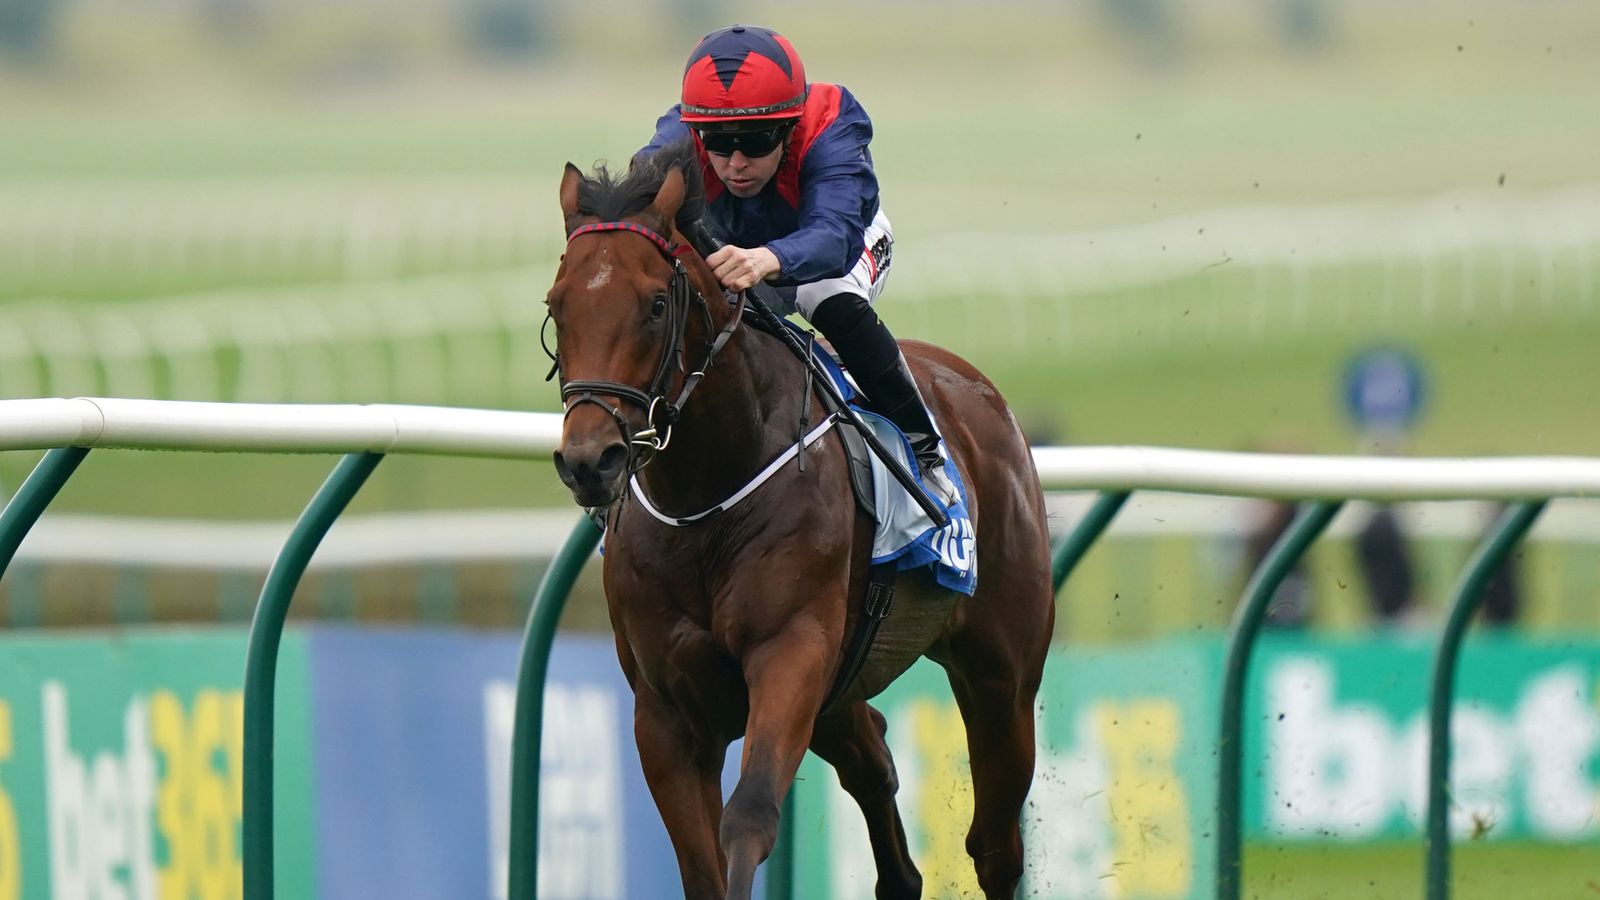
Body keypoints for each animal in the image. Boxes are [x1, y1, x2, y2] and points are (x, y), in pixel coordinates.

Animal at [544, 142, 1055, 900]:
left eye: (657, 304)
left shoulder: (790, 651)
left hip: (1001, 674)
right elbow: (699, 865)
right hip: (843, 689)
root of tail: (979, 391)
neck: (707, 499)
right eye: (557, 306)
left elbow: (749, 816)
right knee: (875, 763)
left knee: (994, 845)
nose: (589, 461)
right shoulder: (664, 712)